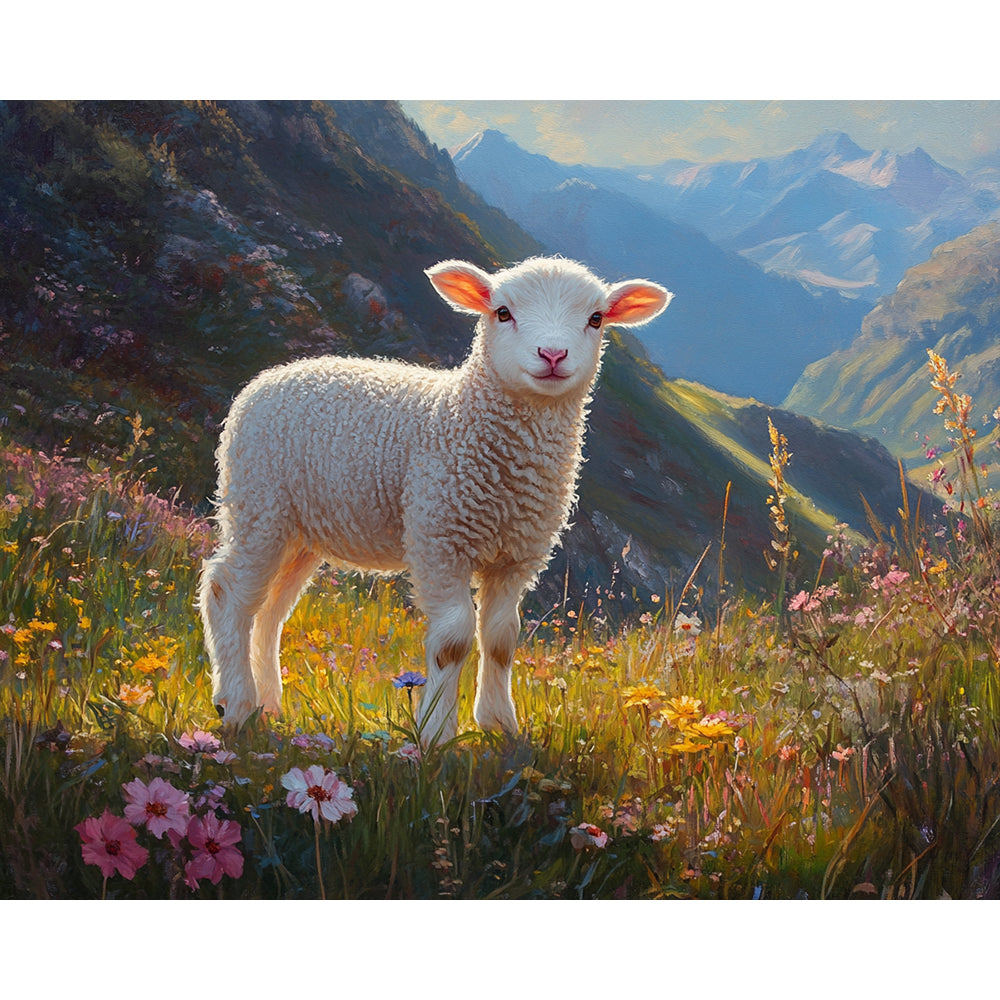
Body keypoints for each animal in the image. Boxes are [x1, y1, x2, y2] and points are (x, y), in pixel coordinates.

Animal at [198, 256, 672, 744]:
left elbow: (501, 639)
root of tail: (269, 376)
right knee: (227, 592)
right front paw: (436, 733)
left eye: (596, 318)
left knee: (270, 610)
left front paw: (500, 725)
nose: (553, 356)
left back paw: (268, 701)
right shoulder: (439, 537)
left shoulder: (517, 555)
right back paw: (236, 704)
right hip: (259, 504)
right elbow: (453, 640)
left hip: (302, 531)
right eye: (502, 312)